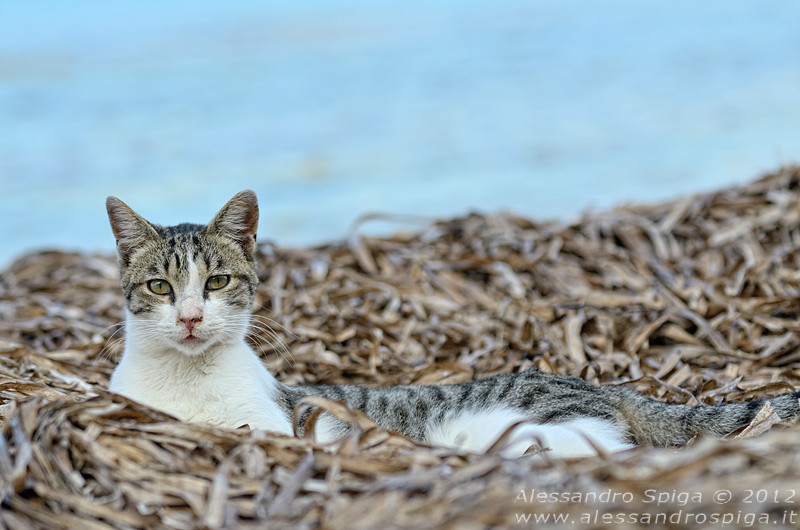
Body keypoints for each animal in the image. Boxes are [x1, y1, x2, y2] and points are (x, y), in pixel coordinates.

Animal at [104, 191, 800, 458]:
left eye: (216, 283)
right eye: (162, 287)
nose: (191, 316)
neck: (188, 381)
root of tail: (598, 387)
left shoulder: (277, 426)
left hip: (537, 423)